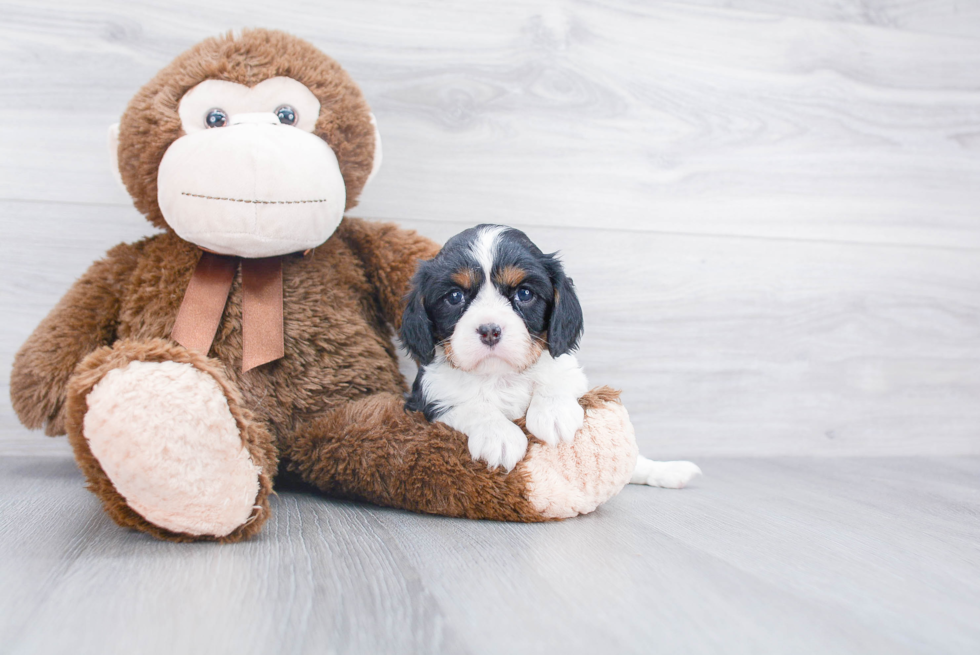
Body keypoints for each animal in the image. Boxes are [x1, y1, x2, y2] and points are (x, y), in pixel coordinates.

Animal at [400, 226, 588, 472]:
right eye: (455, 296)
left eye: (524, 294)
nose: (489, 331)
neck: (499, 376)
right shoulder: (429, 397)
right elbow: (472, 406)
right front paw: (499, 436)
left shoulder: (568, 368)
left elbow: (555, 377)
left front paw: (554, 413)